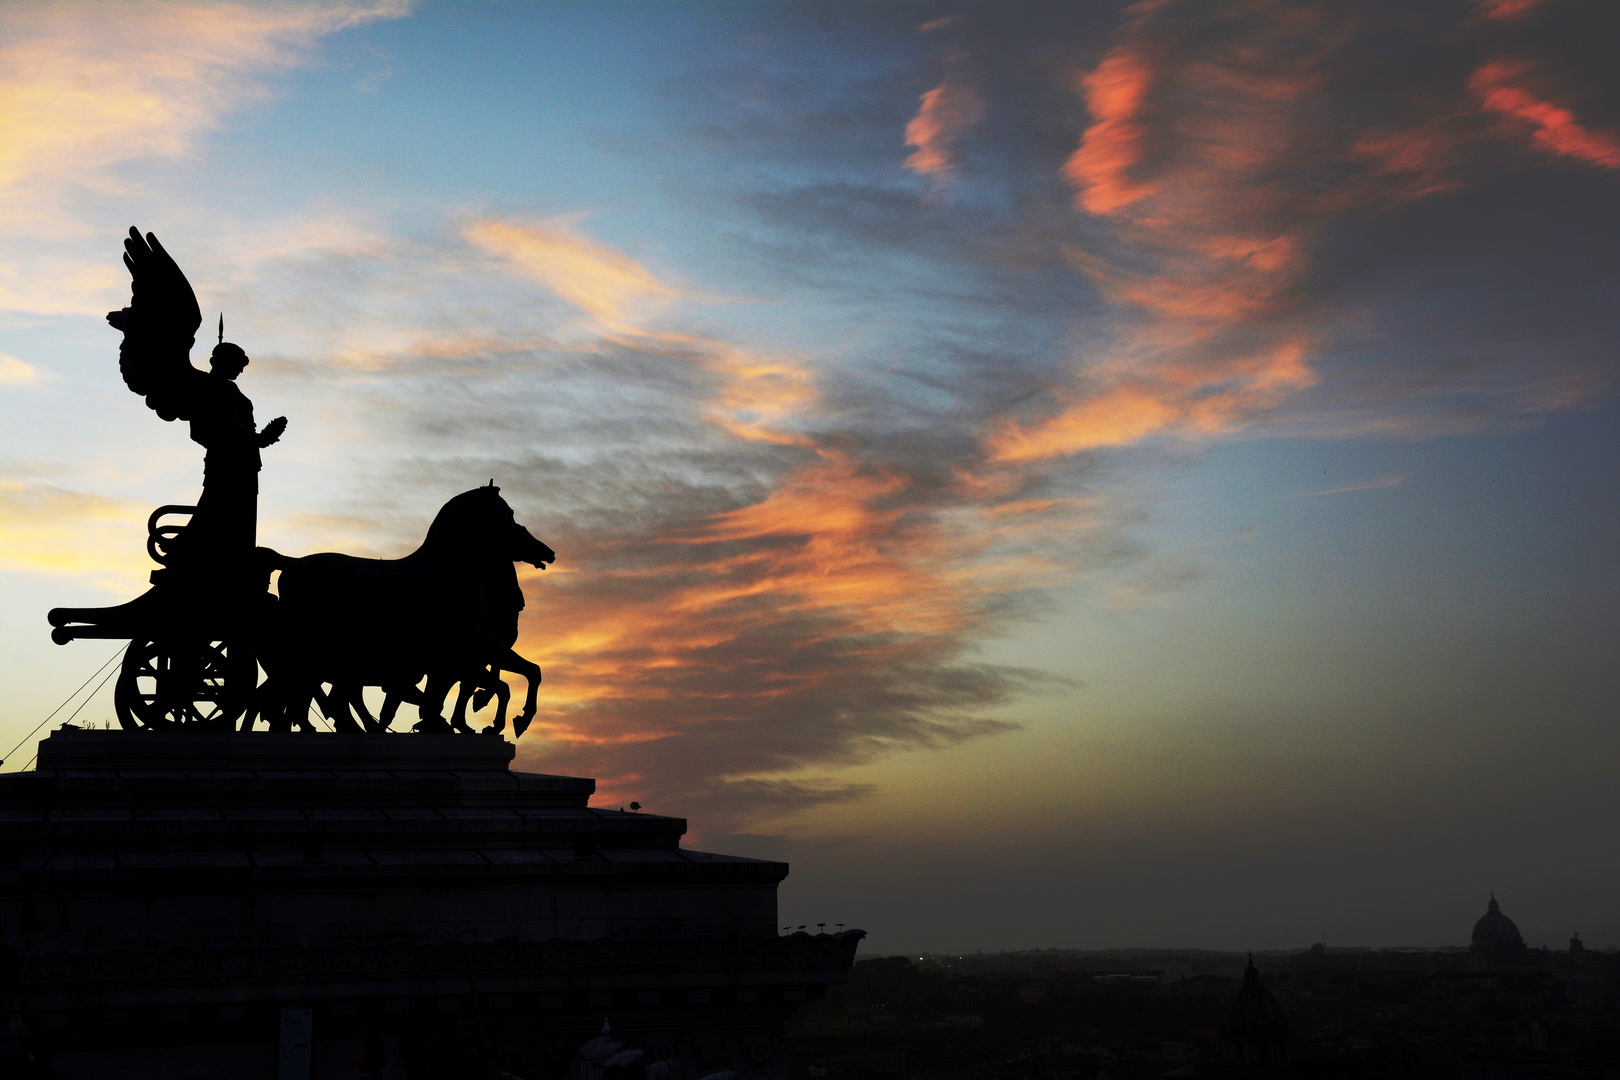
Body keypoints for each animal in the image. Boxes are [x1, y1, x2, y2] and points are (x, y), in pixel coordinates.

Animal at [255, 488, 554, 735]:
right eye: (508, 514)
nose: (548, 552)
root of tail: (292, 564)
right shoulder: (463, 650)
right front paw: (509, 720)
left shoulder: (458, 656)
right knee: (300, 688)